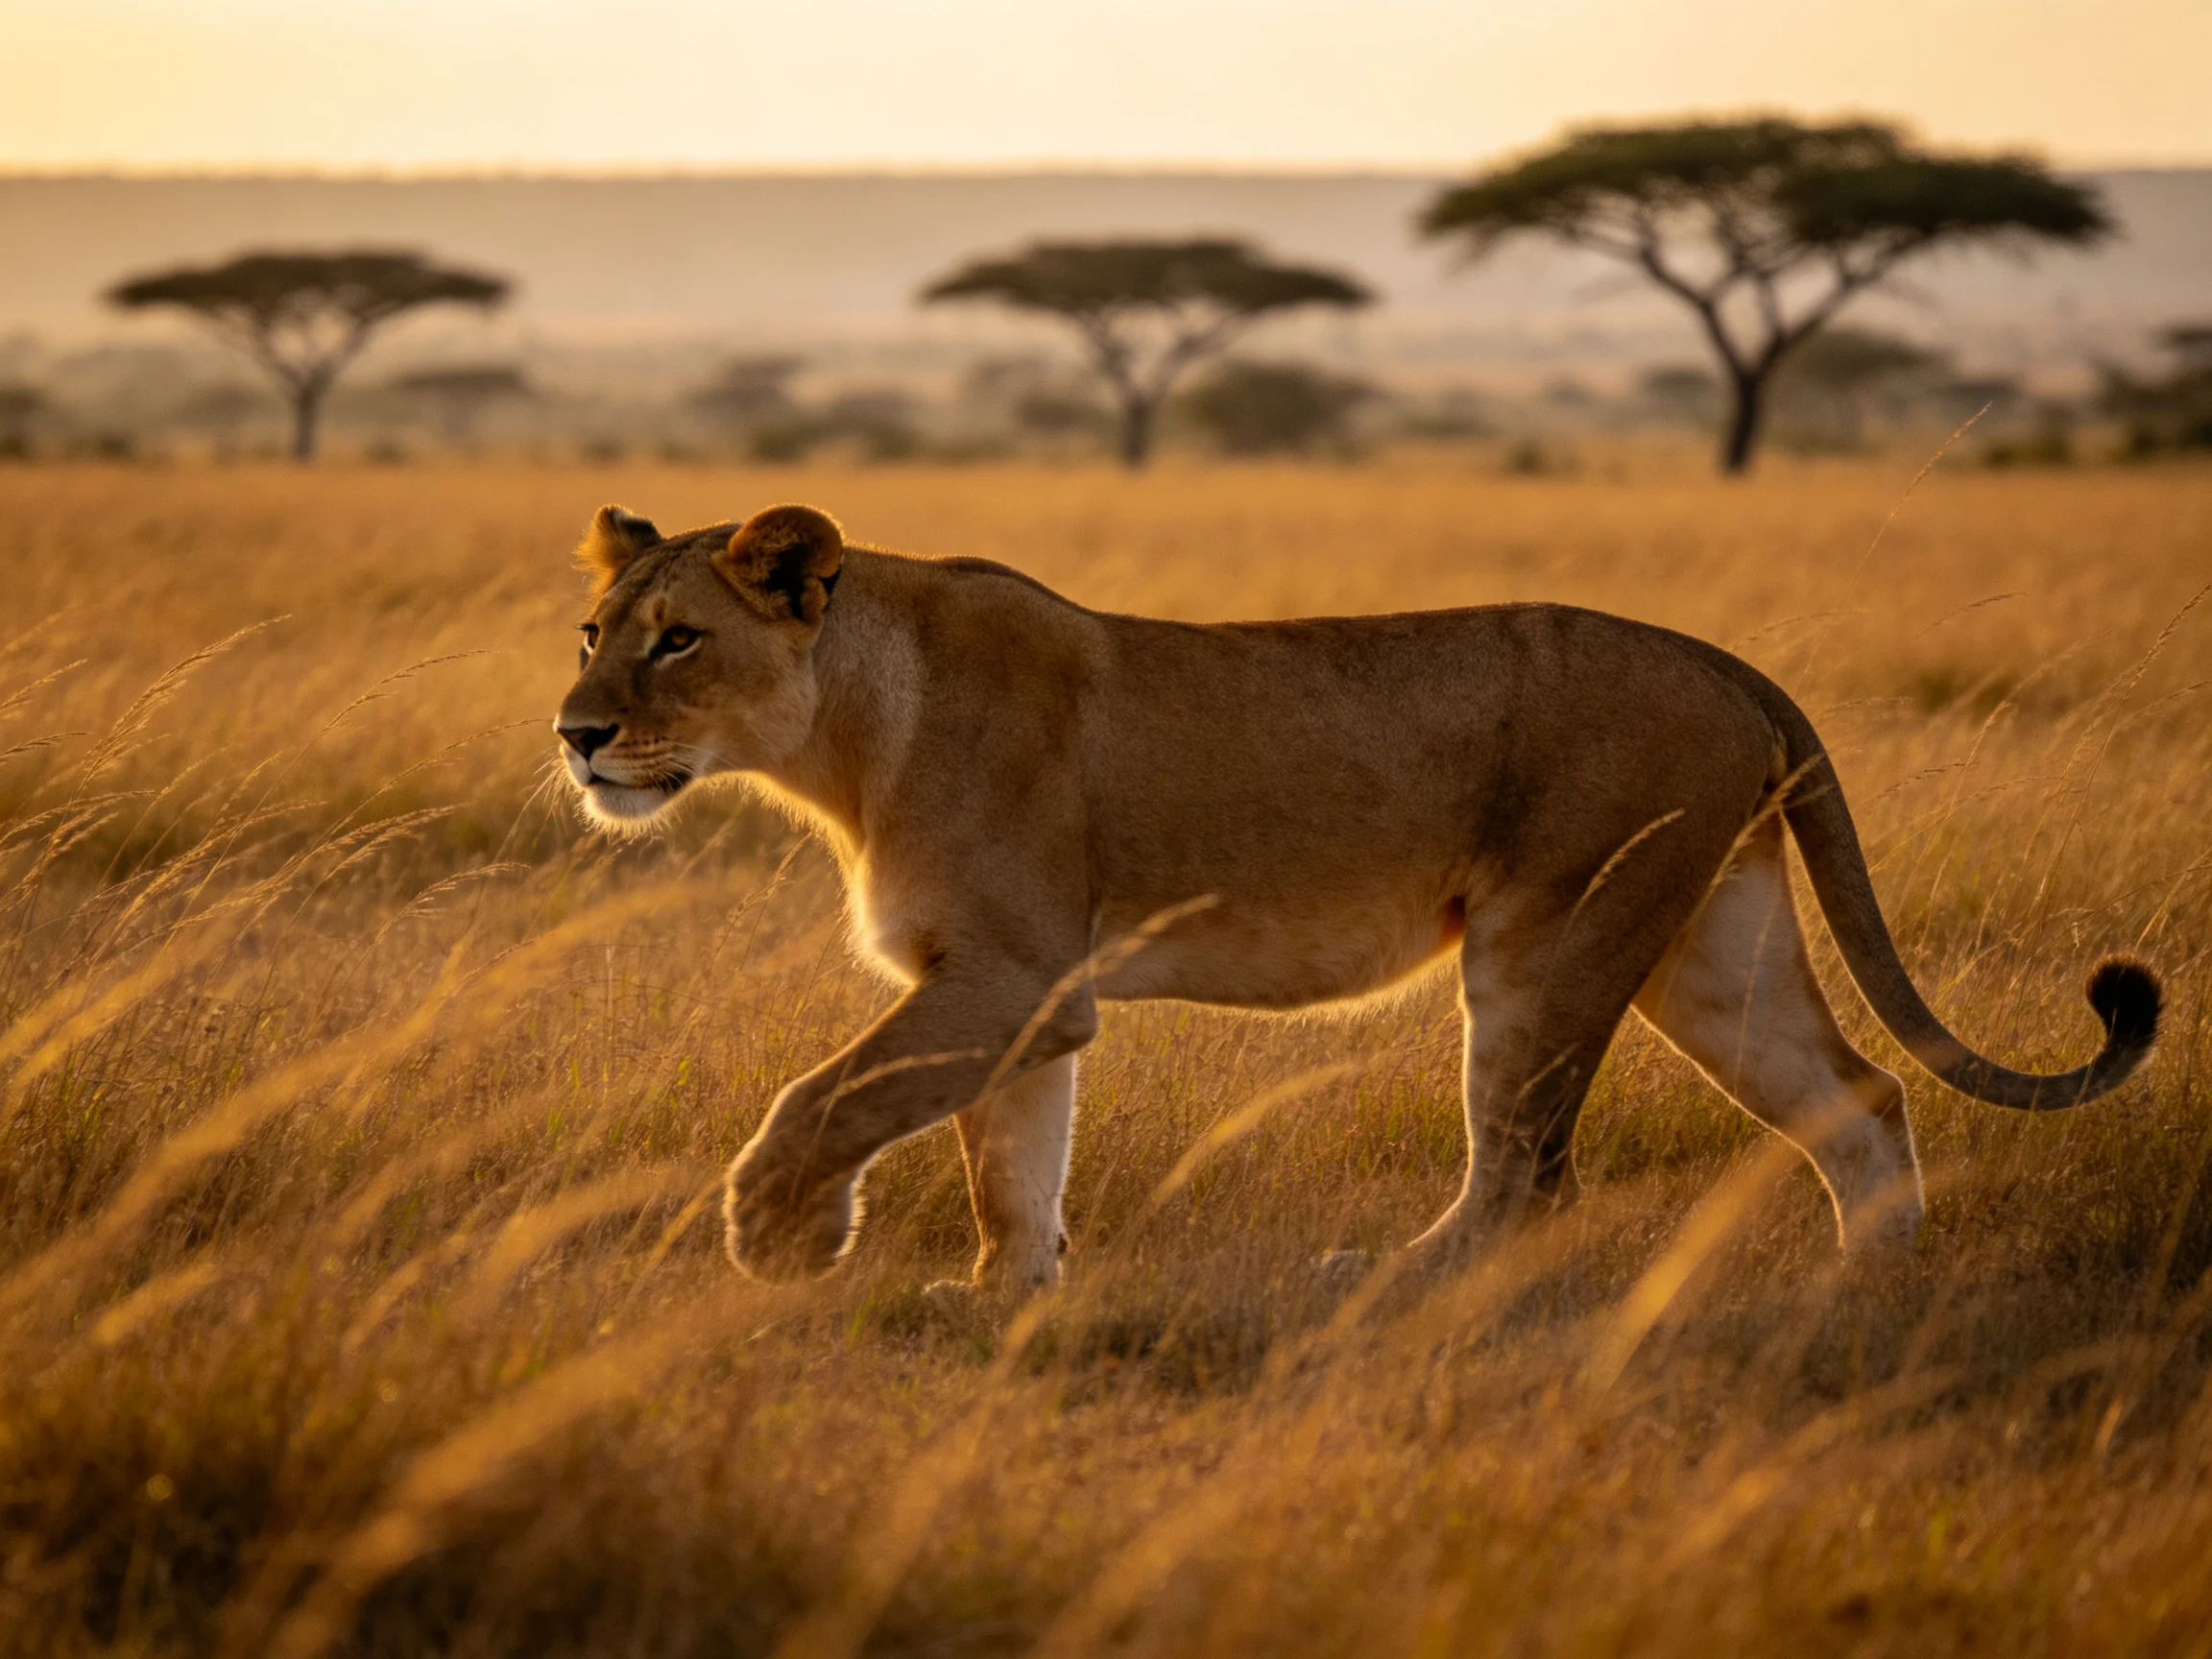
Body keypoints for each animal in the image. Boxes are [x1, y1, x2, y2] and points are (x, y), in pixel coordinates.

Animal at [553, 501, 2161, 1293]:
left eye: (680, 641)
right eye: (591, 633)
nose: (574, 733)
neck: (843, 728)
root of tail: (1726, 662)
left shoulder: (1001, 974)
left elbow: (823, 1099)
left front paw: (782, 1242)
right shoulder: (1025, 998)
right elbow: (1010, 1165)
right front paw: (1004, 1301)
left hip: (1548, 942)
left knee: (1527, 1174)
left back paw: (1380, 1284)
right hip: (1712, 942)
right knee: (1859, 1094)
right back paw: (1867, 1298)